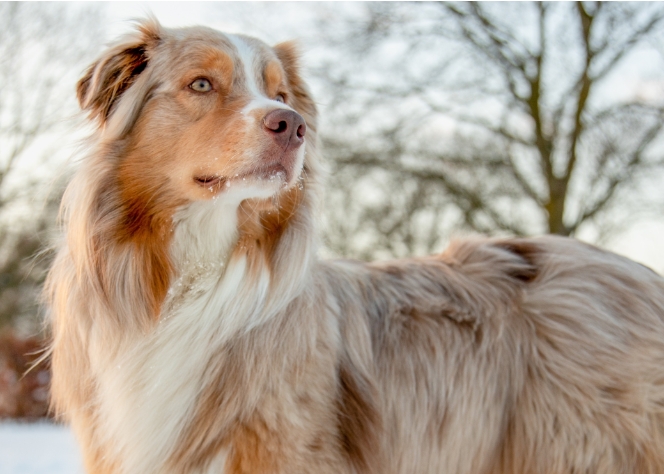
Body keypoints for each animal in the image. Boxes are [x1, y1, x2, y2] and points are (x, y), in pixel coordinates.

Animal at [46, 17, 664, 470]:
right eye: (201, 84)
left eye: (281, 93)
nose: (291, 124)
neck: (198, 266)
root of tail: (636, 271)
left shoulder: (286, 446)